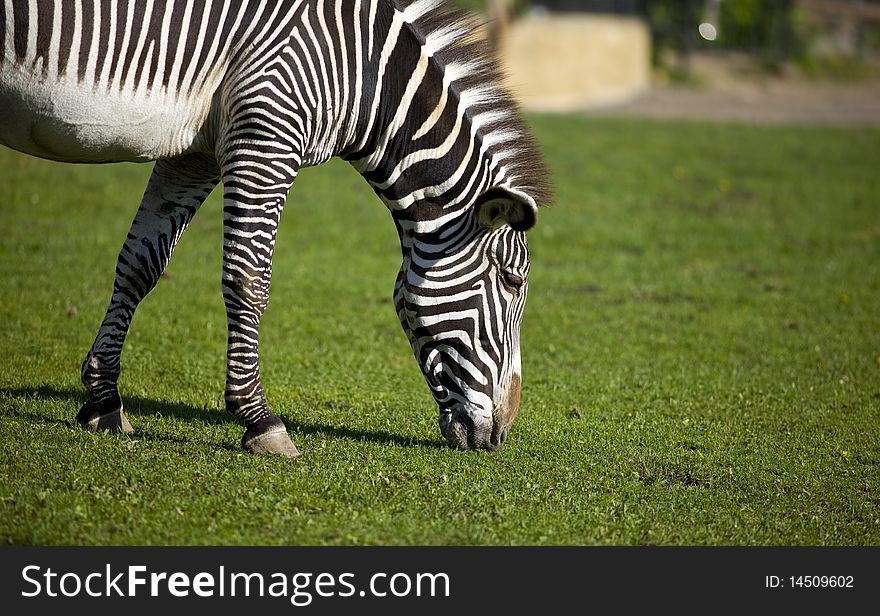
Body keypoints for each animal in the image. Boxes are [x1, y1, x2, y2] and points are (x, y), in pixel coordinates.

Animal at [0, 0, 552, 452]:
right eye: (512, 281)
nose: (500, 436)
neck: (365, 73)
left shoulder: (194, 153)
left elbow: (141, 264)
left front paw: (103, 399)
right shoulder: (265, 138)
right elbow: (248, 280)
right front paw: (258, 419)